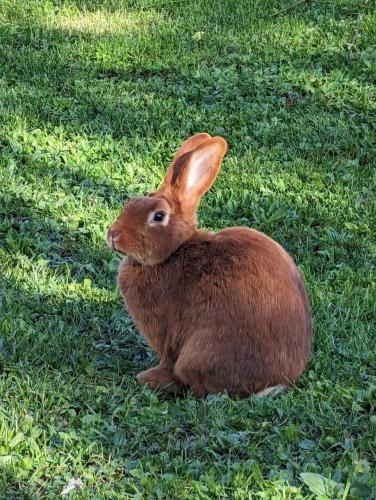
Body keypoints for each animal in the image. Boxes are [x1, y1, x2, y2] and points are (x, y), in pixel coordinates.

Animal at [108, 134, 312, 398]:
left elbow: (168, 358)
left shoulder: (166, 334)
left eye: (158, 216)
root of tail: (278, 381)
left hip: (202, 351)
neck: (172, 253)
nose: (113, 235)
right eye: (131, 202)